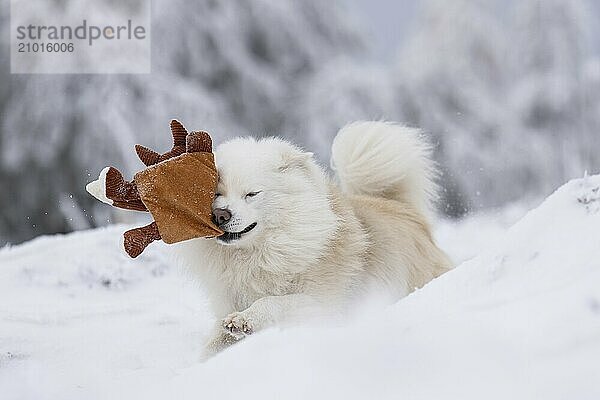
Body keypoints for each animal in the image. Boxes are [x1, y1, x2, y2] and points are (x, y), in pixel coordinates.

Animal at [176, 120, 452, 354]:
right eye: (216, 193)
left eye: (252, 194)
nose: (220, 215)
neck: (261, 253)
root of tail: (402, 207)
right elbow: (214, 342)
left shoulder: (326, 304)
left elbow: (273, 302)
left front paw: (244, 319)